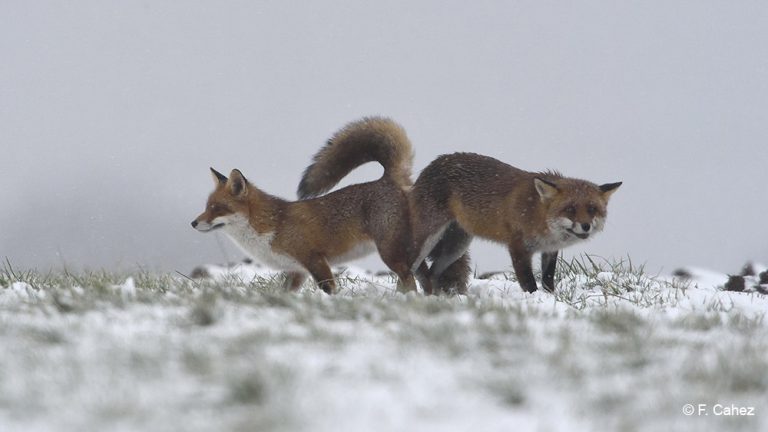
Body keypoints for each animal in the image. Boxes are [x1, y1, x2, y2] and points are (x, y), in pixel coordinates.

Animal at [412, 152, 620, 294]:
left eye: (592, 209)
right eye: (570, 209)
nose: (586, 226)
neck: (537, 213)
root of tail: (433, 163)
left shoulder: (550, 250)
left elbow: (548, 279)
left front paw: (551, 298)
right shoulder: (518, 247)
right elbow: (529, 282)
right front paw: (535, 300)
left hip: (457, 247)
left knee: (432, 273)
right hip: (428, 239)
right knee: (413, 267)